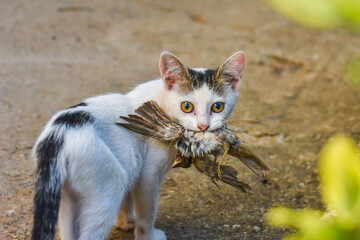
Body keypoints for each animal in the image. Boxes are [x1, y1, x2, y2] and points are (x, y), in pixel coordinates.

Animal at [31, 49, 245, 239]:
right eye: (186, 106)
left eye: (217, 107)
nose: (203, 126)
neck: (161, 100)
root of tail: (59, 132)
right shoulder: (148, 176)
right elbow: (147, 214)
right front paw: (147, 235)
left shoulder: (130, 165)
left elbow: (127, 201)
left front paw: (126, 222)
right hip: (109, 185)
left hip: (66, 194)